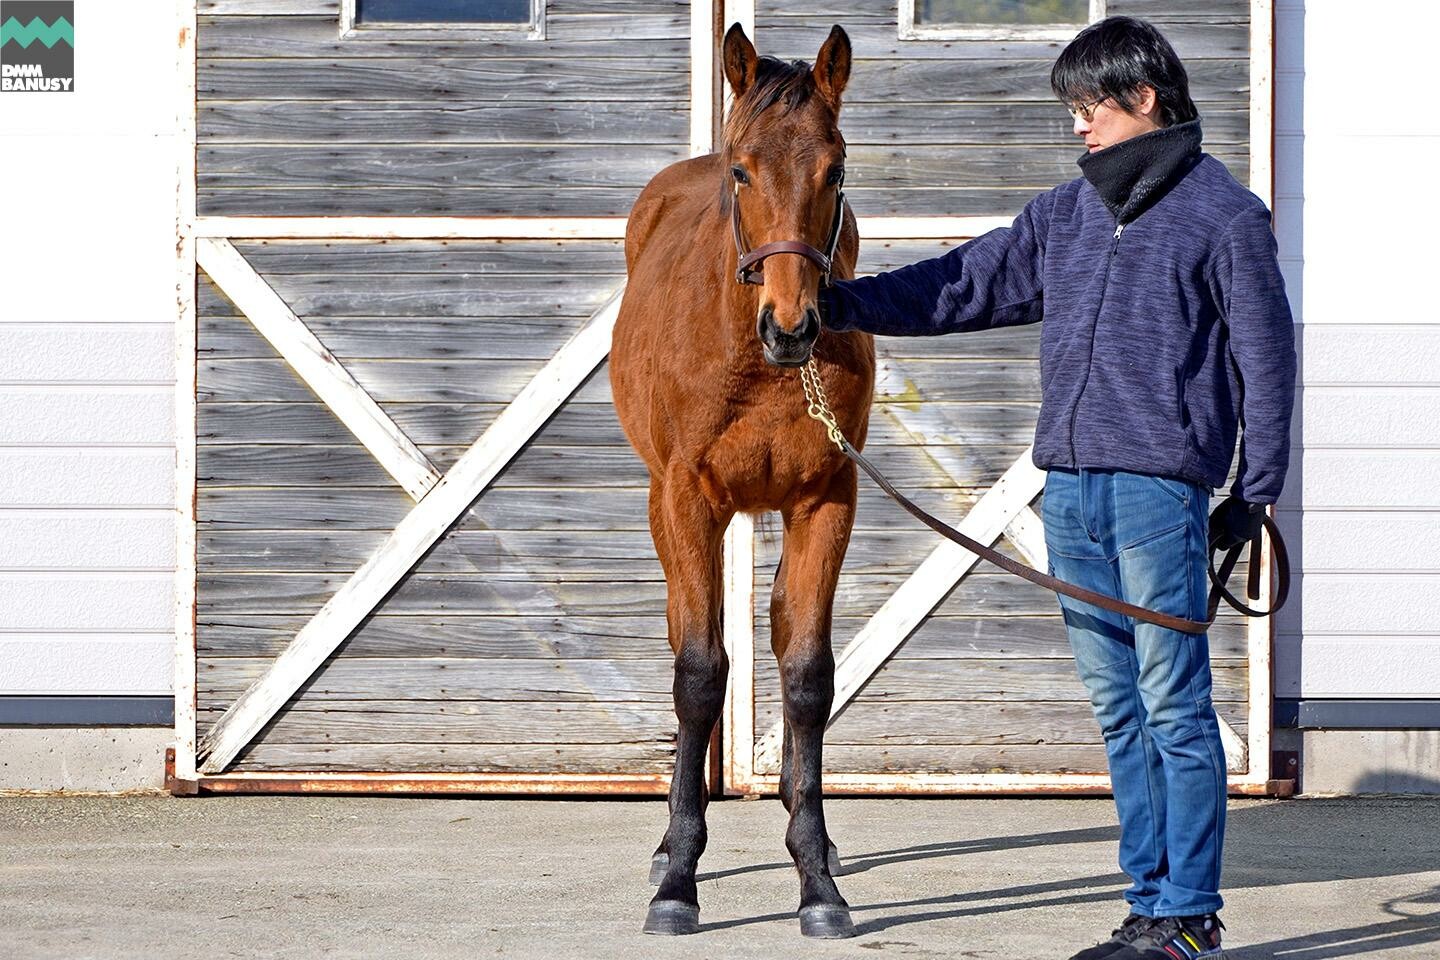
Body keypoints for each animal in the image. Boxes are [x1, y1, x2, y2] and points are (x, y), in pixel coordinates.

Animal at [610, 22, 875, 938]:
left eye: (836, 168)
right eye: (743, 171)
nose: (791, 328)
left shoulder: (827, 500)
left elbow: (807, 675)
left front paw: (818, 880)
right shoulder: (688, 501)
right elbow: (698, 674)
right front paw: (678, 880)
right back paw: (664, 846)